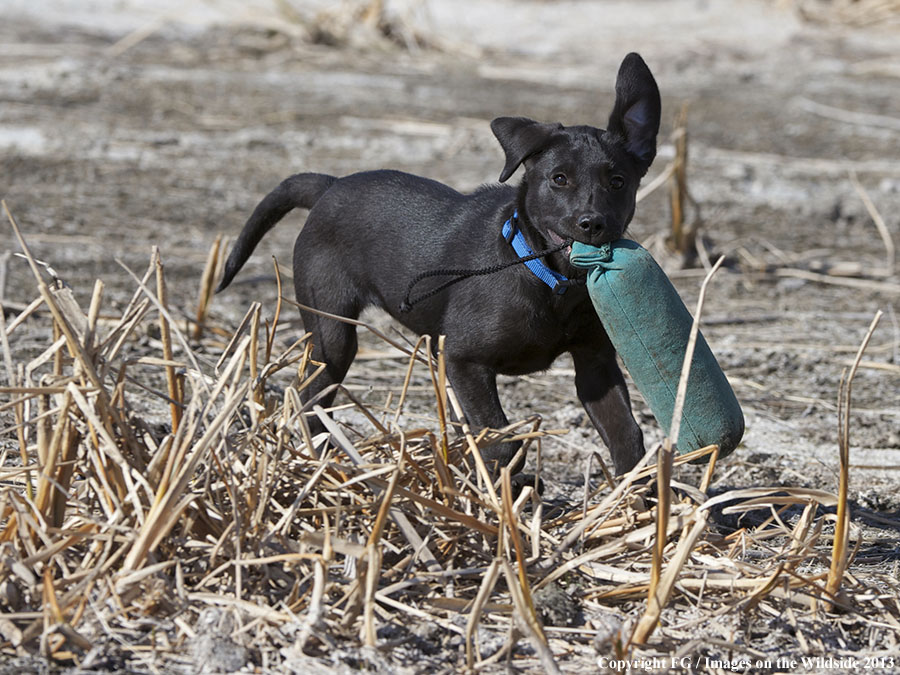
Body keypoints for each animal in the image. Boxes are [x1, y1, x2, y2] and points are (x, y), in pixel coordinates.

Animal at [220, 51, 660, 476]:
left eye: (618, 181)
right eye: (559, 179)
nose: (592, 223)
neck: (548, 279)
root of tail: (330, 186)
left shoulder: (595, 363)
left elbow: (627, 435)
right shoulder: (463, 360)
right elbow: (501, 439)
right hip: (330, 333)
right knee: (311, 399)